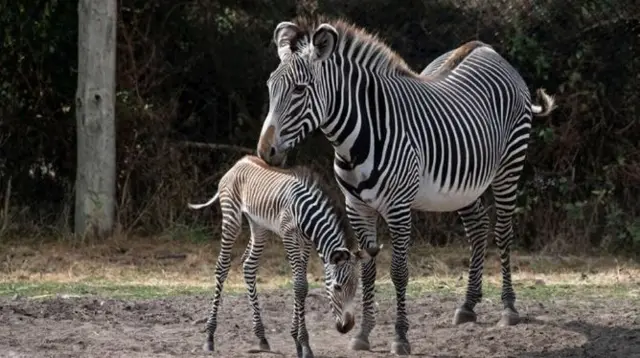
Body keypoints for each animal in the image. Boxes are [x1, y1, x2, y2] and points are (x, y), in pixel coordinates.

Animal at [188, 155, 378, 358]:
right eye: (337, 288)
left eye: (356, 287)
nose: (347, 326)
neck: (306, 213)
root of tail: (239, 162)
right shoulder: (289, 236)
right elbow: (300, 286)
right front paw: (304, 344)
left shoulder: (306, 242)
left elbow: (302, 286)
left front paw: (297, 340)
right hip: (232, 217)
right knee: (222, 268)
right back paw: (209, 337)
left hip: (259, 225)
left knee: (249, 266)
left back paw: (262, 338)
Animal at [255, 16, 556, 356]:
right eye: (270, 87)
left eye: (299, 90)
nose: (265, 152)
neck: (354, 140)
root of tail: (488, 49)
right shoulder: (356, 207)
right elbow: (368, 268)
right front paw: (363, 334)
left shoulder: (398, 208)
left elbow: (399, 272)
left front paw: (400, 337)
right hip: (466, 183)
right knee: (478, 228)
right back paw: (468, 305)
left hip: (509, 165)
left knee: (503, 232)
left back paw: (508, 308)